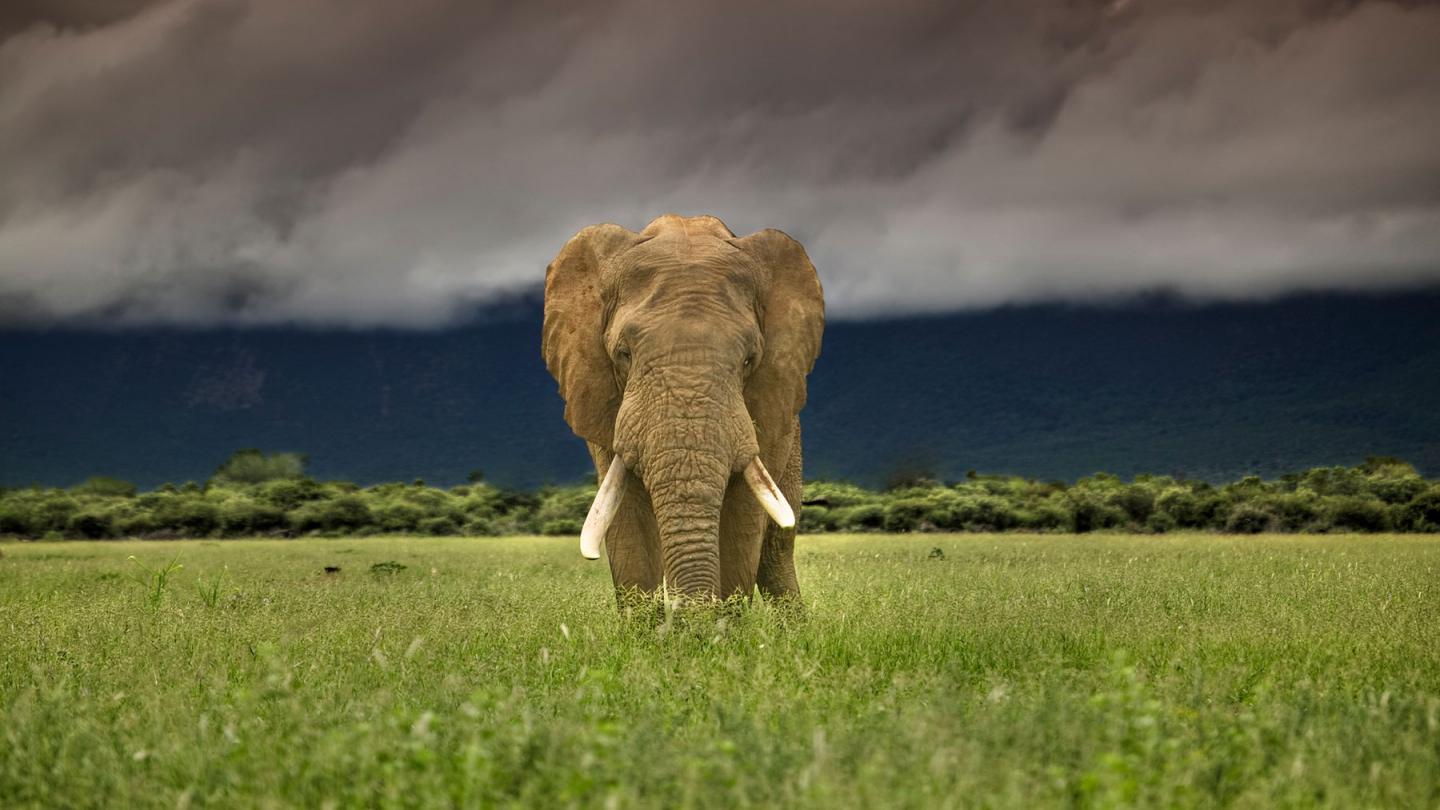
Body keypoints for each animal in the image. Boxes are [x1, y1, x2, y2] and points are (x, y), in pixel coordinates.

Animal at [542, 214, 825, 602]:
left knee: (775, 553)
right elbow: (627, 520)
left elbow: (741, 519)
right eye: (623, 354)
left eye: (749, 359)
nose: (680, 607)